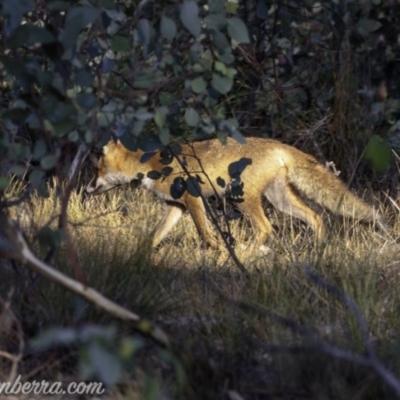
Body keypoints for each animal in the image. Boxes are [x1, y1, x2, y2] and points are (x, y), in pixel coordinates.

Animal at [86, 138, 384, 250]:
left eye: (96, 169)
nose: (87, 189)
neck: (152, 166)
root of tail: (278, 144)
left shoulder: (192, 199)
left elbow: (204, 233)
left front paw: (218, 251)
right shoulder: (176, 206)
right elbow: (156, 235)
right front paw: (141, 254)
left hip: (243, 198)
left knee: (266, 228)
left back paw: (249, 255)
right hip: (280, 200)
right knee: (316, 217)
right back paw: (317, 252)